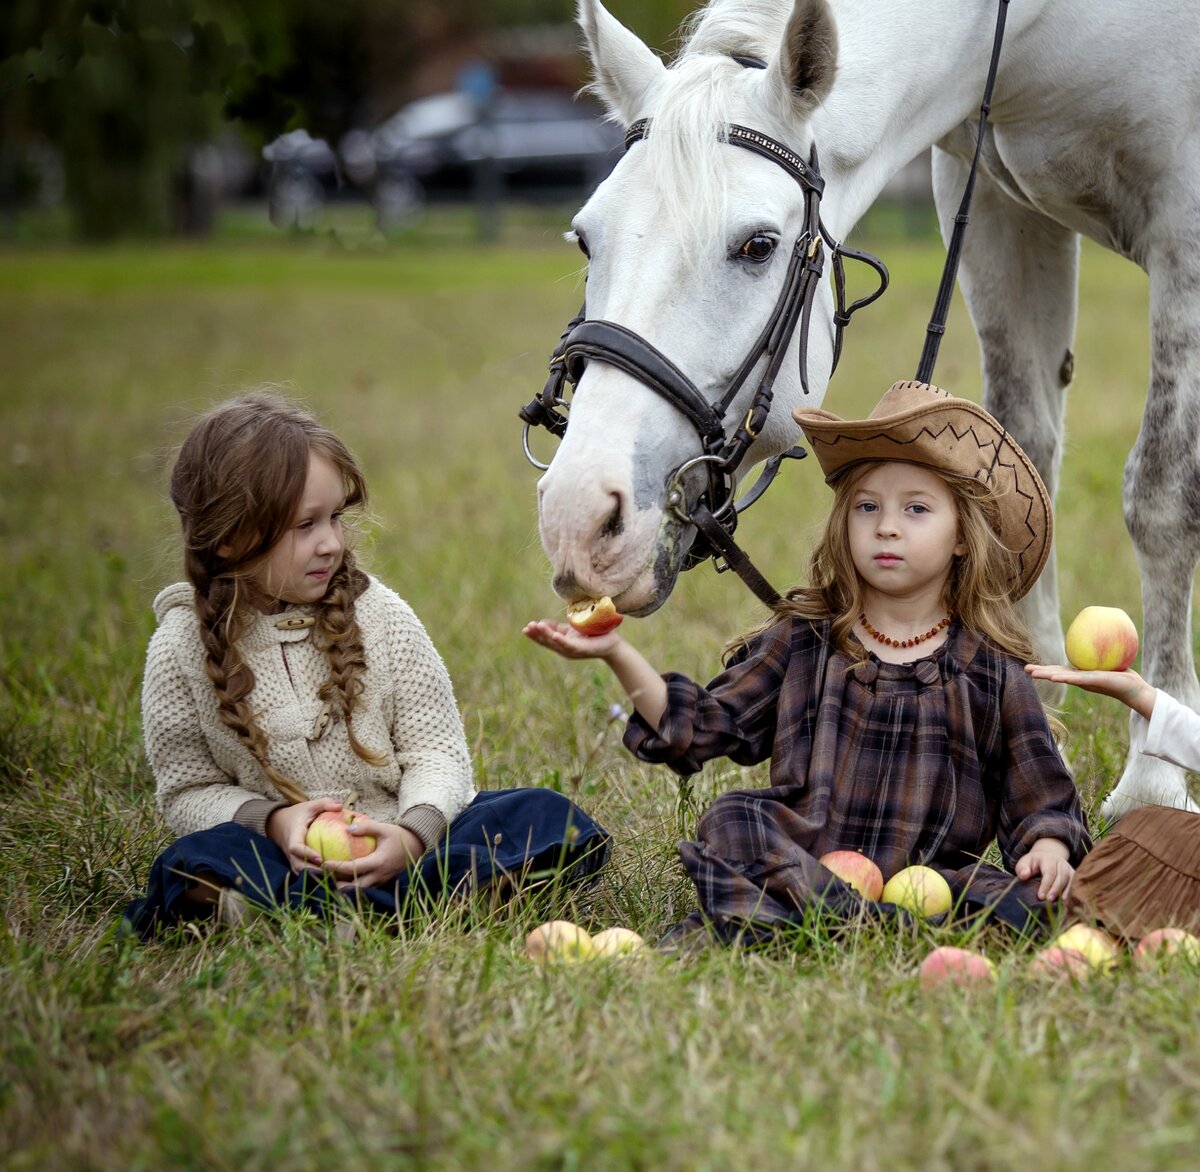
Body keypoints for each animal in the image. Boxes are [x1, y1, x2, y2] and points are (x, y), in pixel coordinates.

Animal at [532, 0, 1200, 820]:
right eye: (584, 238)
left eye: (759, 245)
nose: (577, 516)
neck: (1030, 27)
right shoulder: (998, 212)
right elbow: (1016, 459)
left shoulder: (1185, 219)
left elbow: (1161, 494)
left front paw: (1154, 779)